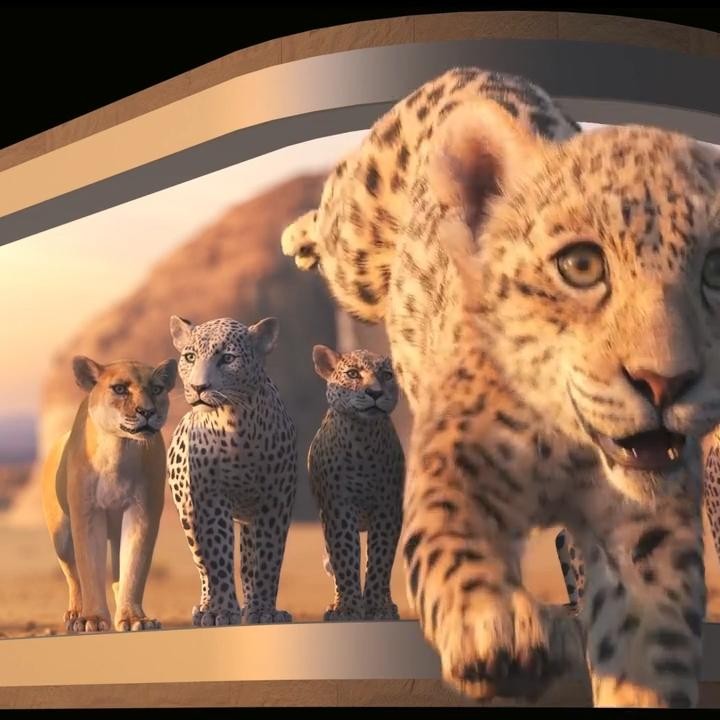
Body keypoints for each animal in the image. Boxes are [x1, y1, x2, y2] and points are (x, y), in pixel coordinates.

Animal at [166, 315, 297, 626]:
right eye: (190, 357)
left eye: (227, 358)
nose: (198, 387)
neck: (234, 424)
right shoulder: (209, 499)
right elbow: (216, 555)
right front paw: (221, 612)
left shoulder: (276, 501)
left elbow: (267, 558)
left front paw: (264, 611)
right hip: (187, 515)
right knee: (202, 565)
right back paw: (205, 607)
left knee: (248, 562)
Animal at [308, 344, 405, 622]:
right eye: (352, 374)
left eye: (386, 375)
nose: (375, 393)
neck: (363, 439)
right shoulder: (338, 506)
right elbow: (345, 555)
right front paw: (348, 607)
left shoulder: (387, 508)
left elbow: (381, 557)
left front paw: (378, 606)